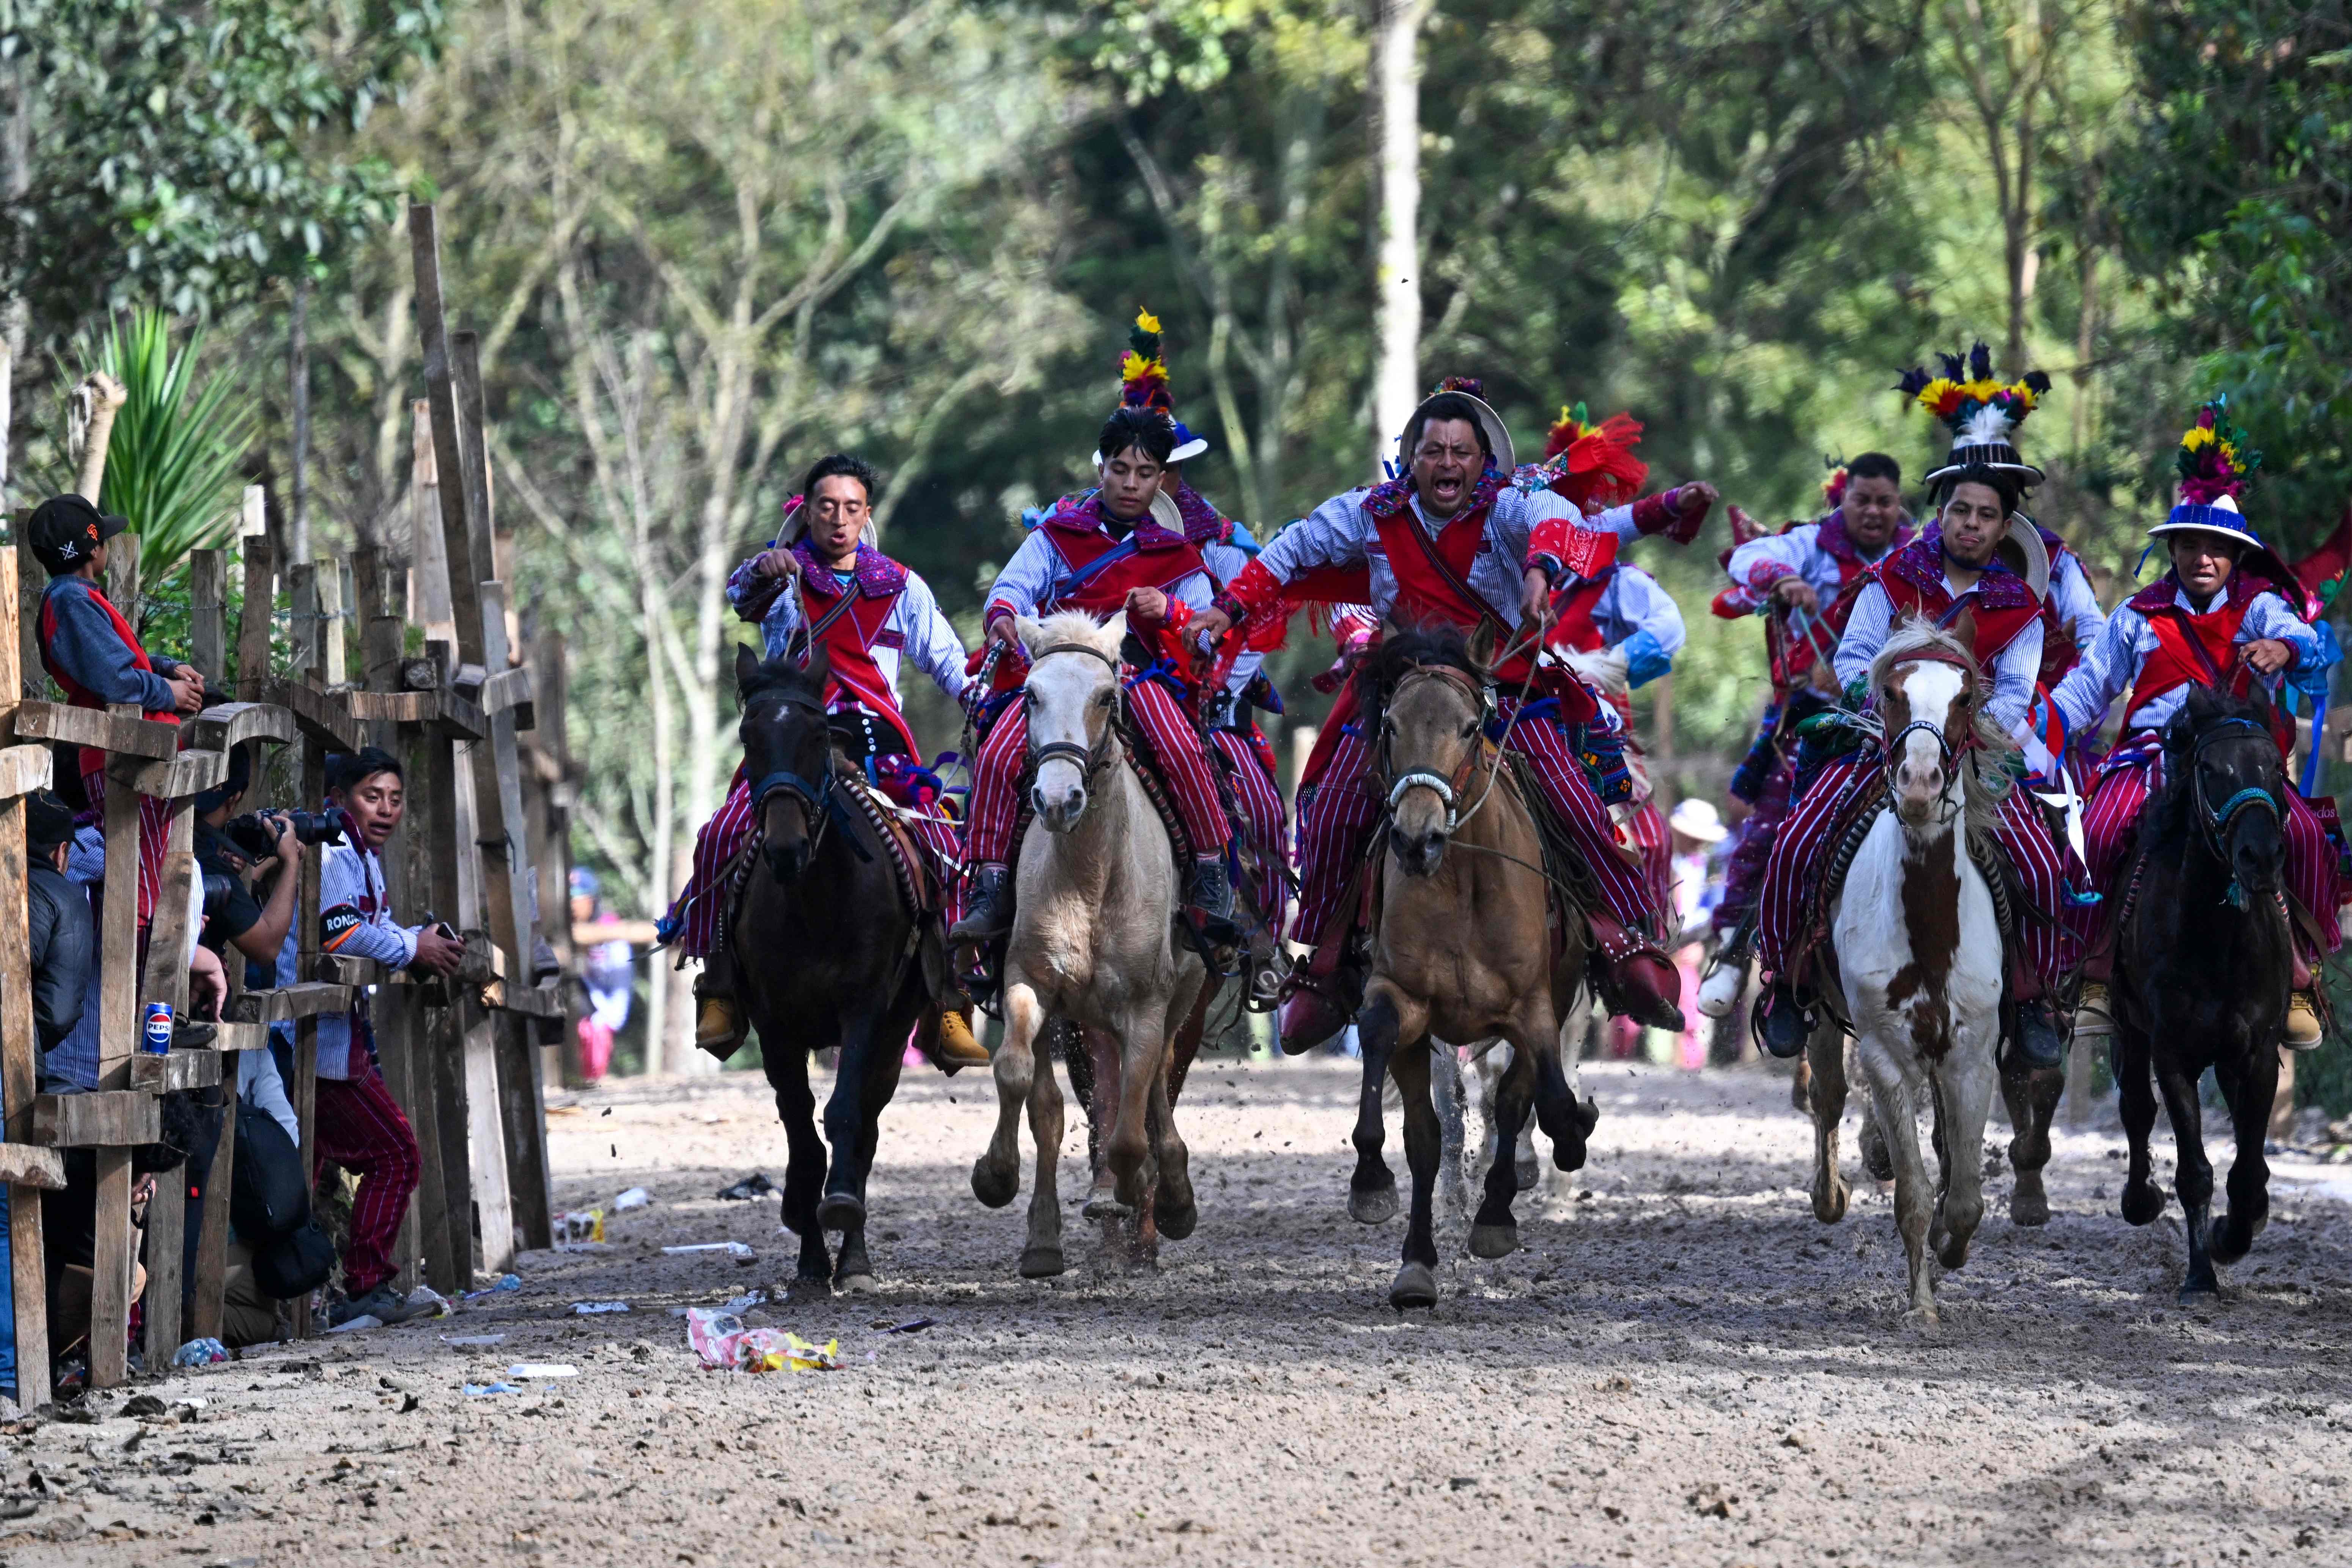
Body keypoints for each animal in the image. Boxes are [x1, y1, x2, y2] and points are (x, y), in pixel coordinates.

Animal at [734, 644, 955, 1298]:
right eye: (749, 736)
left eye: (813, 735)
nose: (785, 847)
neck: (815, 901)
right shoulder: (775, 1025)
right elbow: (802, 1136)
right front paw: (809, 1258)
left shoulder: (865, 1010)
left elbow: (846, 1118)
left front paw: (843, 1232)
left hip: (895, 1031)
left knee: (869, 1127)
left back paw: (853, 1253)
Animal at [964, 611, 1204, 1279]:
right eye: (1030, 694)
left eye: (1104, 697)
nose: (1056, 799)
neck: (1092, 878)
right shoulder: (1028, 982)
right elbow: (1018, 1076)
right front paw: (995, 1175)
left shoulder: (1147, 1006)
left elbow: (1130, 1130)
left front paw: (1138, 1190)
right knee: (1053, 1108)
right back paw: (1045, 1241)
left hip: (1183, 995)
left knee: (1155, 1089)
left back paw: (1170, 1197)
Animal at [1806, 621, 2013, 1335]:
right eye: (1893, 693)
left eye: (1964, 697)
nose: (1920, 782)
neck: (1929, 929)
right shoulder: (1886, 1053)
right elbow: (1916, 1195)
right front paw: (1922, 1301)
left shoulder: (1973, 1055)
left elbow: (1966, 1195)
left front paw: (1953, 1248)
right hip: (1822, 1013)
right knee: (1827, 1094)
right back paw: (1831, 1191)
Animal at [2117, 686, 2295, 1298]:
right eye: (2211, 770)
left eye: (2275, 766)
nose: (2260, 857)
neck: (2218, 941)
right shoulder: (2172, 1052)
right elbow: (2194, 1170)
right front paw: (2200, 1273)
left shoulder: (2258, 1051)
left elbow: (2247, 1166)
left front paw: (2232, 1235)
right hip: (2127, 1025)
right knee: (2135, 1107)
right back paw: (2139, 1199)